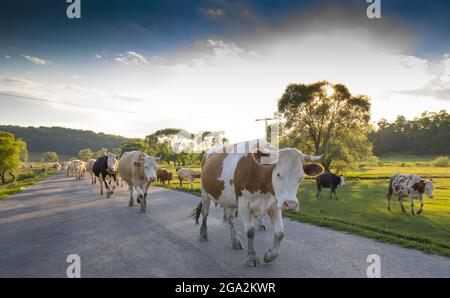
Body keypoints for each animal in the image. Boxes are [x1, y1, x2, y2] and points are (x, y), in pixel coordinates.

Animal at [193, 142, 324, 268]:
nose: (291, 205)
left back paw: (235, 241)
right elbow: (250, 232)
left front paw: (270, 256)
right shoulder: (244, 205)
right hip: (205, 193)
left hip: (228, 200)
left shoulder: (274, 205)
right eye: (278, 174)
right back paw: (203, 234)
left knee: (230, 219)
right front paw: (251, 257)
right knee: (205, 214)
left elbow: (280, 232)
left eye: (301, 177)